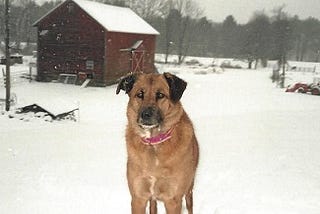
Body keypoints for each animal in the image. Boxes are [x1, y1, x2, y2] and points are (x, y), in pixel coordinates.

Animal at [116, 72, 199, 213]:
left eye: (160, 95)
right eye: (140, 94)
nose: (146, 115)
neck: (154, 142)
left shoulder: (173, 200)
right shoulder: (138, 198)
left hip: (189, 189)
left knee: (189, 205)